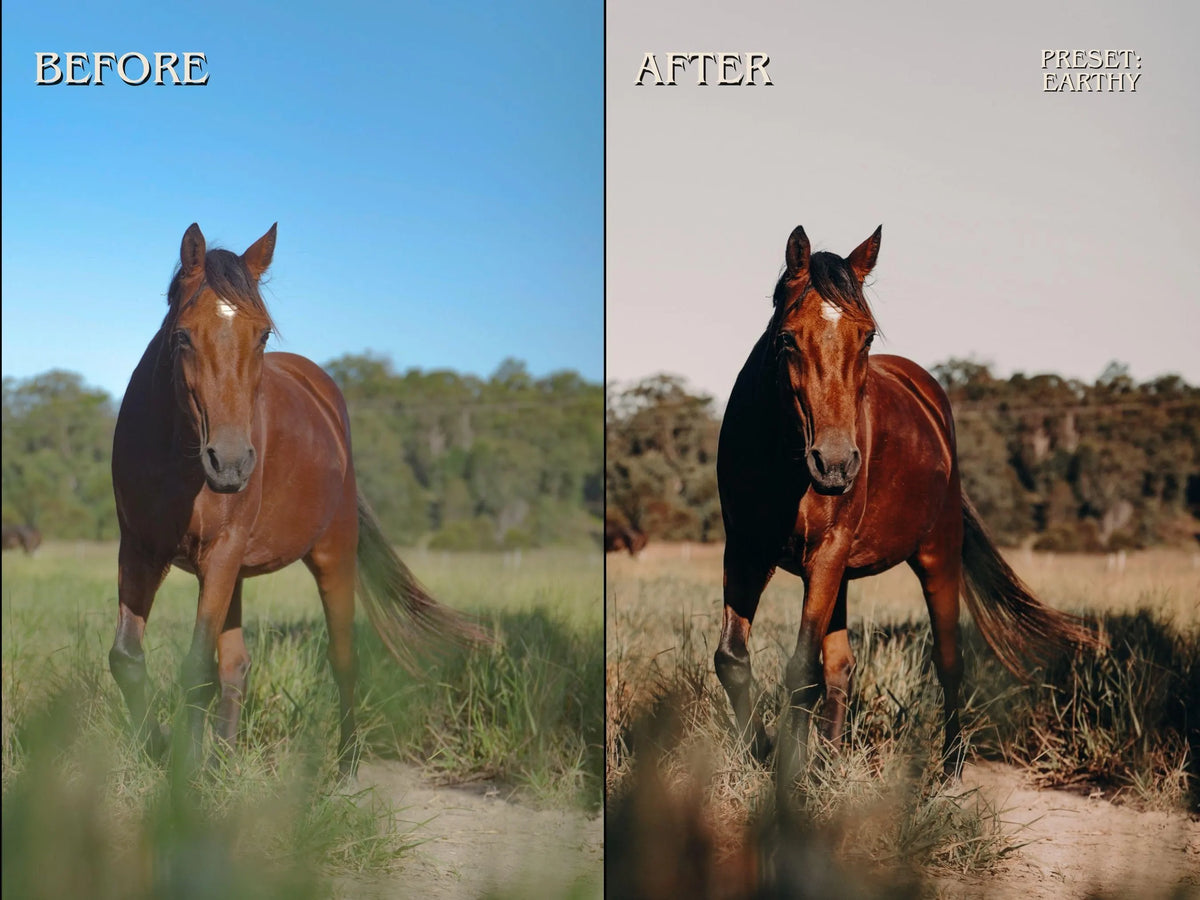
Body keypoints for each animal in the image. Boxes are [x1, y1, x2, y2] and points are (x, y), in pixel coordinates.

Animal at [110, 223, 486, 770]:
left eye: (263, 334)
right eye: (181, 335)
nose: (231, 462)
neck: (176, 457)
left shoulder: (219, 554)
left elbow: (196, 669)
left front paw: (184, 772)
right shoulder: (139, 550)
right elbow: (128, 659)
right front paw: (160, 749)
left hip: (330, 556)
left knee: (343, 657)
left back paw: (345, 764)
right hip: (231, 572)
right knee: (236, 665)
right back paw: (223, 760)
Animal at [714, 224, 1101, 803]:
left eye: (867, 337)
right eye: (786, 338)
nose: (835, 464)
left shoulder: (824, 556)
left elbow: (801, 670)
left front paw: (788, 781)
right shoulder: (744, 549)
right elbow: (734, 660)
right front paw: (763, 754)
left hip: (934, 556)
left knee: (948, 661)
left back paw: (950, 771)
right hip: (837, 574)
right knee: (841, 666)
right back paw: (831, 763)